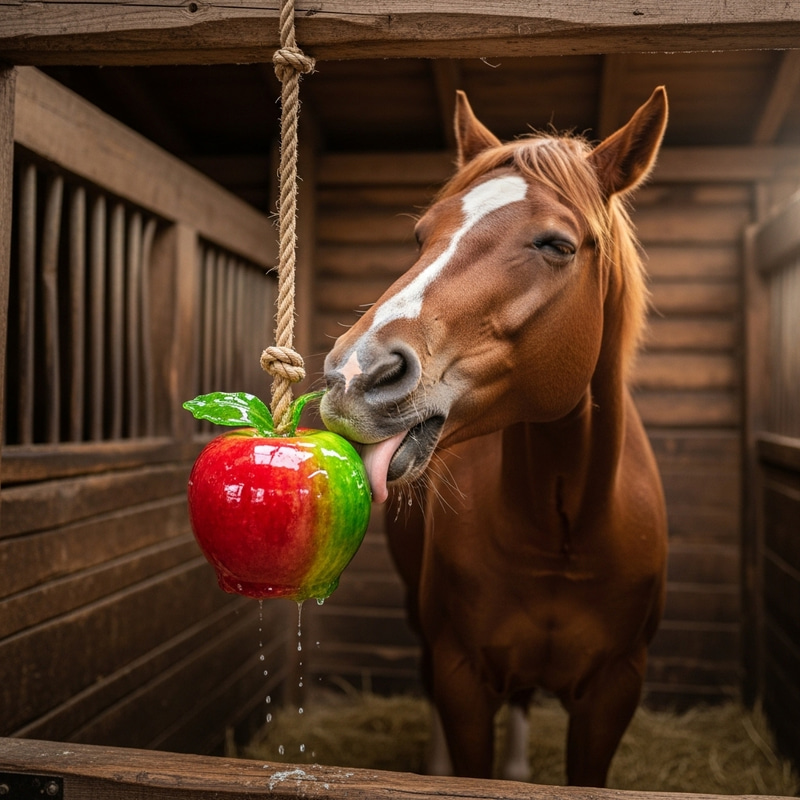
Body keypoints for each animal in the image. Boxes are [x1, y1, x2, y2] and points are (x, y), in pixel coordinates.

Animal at [319, 87, 669, 787]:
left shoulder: (616, 689)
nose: (354, 375)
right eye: (420, 237)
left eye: (557, 245)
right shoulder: (462, 675)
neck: (561, 534)